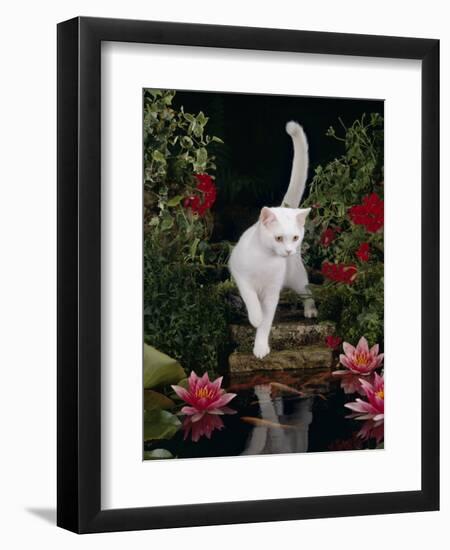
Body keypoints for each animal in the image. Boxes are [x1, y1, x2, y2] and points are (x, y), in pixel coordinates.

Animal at [229, 121, 316, 360]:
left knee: (307, 291)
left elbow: (266, 323)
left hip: (296, 277)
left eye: (295, 237)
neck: (265, 261)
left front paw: (260, 347)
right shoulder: (240, 275)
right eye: (278, 238)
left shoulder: (271, 293)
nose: (288, 251)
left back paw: (310, 310)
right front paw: (255, 317)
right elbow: (251, 299)